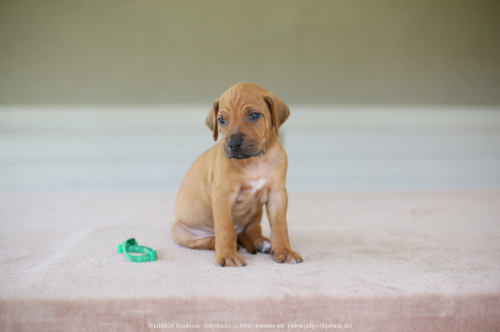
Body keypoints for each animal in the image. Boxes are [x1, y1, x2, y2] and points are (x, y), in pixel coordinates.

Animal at [170, 83, 302, 268]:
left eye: (254, 115)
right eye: (221, 120)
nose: (233, 143)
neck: (255, 161)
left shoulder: (277, 194)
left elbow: (280, 225)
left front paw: (284, 251)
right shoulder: (222, 195)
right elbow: (225, 229)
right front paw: (227, 255)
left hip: (256, 213)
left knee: (252, 230)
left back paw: (263, 243)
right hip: (180, 232)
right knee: (212, 240)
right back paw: (227, 246)